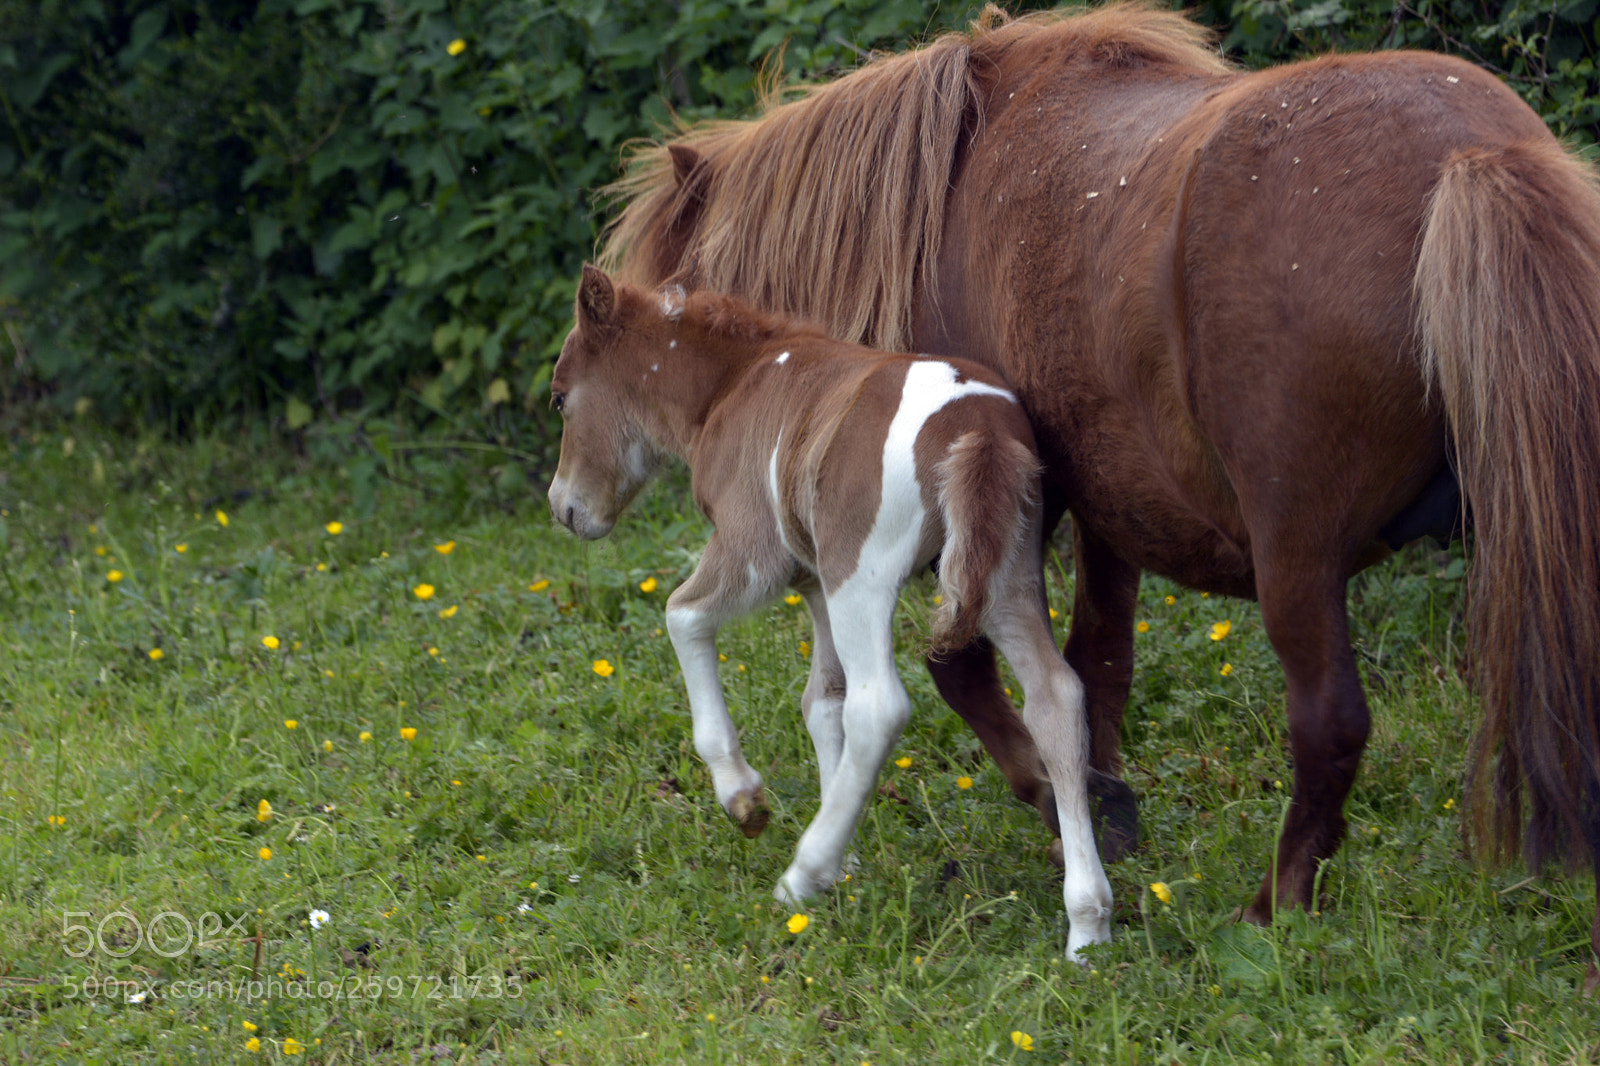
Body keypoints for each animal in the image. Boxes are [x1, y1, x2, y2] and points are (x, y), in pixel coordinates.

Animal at [546, 265, 1115, 956]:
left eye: (559, 397)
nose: (562, 508)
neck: (732, 385)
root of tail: (977, 428)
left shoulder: (756, 552)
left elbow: (683, 616)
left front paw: (745, 798)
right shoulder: (814, 580)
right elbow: (822, 701)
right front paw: (847, 858)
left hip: (863, 576)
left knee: (881, 706)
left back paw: (801, 873)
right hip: (1007, 578)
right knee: (1056, 698)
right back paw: (1088, 924)